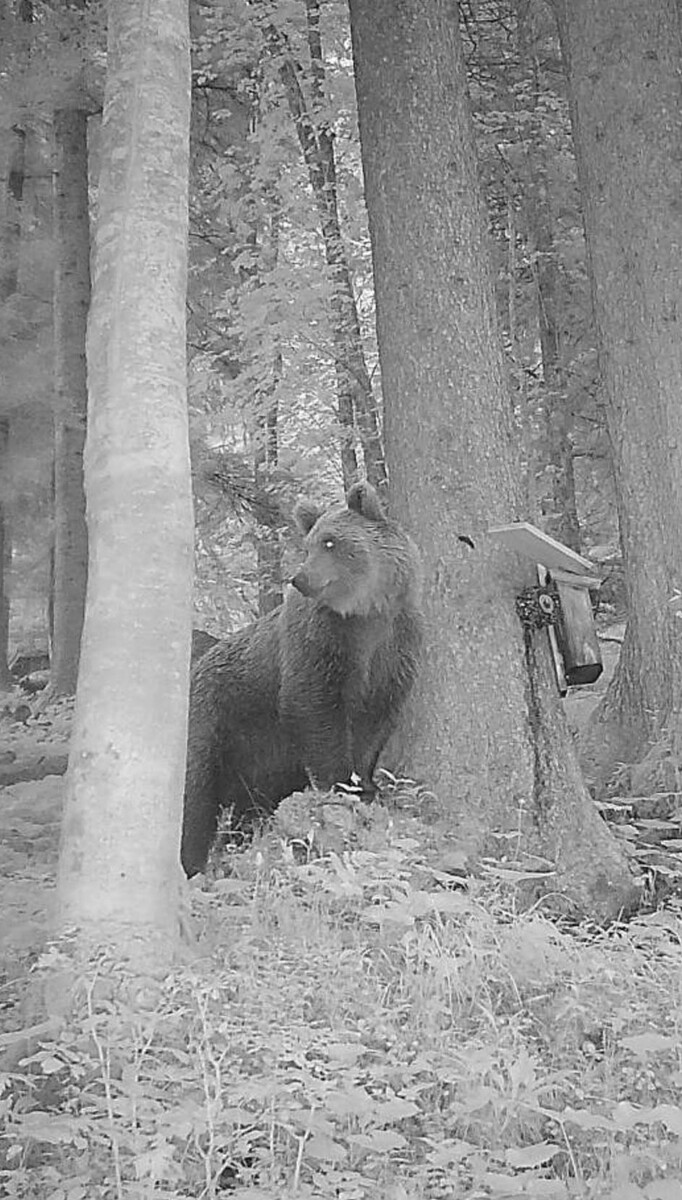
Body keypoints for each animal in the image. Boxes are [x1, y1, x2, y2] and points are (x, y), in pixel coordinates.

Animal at [180, 480, 423, 877]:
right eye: (309, 544)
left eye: (330, 542)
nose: (301, 577)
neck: (366, 614)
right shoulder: (322, 642)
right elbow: (314, 706)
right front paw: (340, 783)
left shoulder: (395, 647)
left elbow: (377, 719)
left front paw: (367, 784)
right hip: (216, 723)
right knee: (194, 797)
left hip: (258, 762)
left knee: (247, 808)